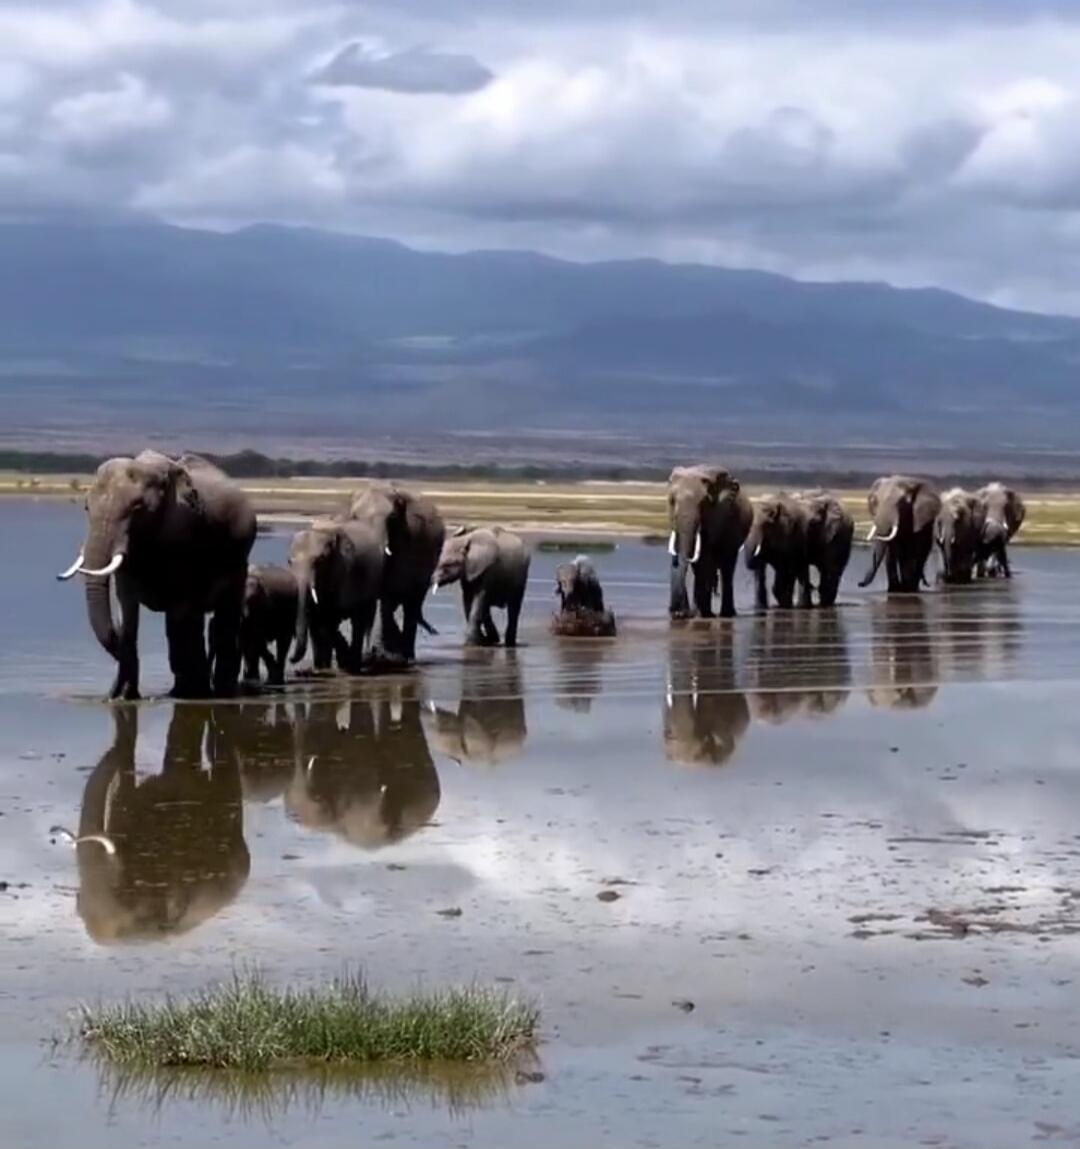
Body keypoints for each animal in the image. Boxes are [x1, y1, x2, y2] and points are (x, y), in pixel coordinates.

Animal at [57, 450, 256, 699]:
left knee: (221, 618)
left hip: (238, 558)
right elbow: (127, 610)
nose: (113, 693)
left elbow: (179, 614)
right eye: (86, 507)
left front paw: (187, 693)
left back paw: (216, 690)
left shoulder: (183, 536)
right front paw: (122, 697)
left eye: (136, 508)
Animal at [288, 518, 384, 672]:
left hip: (371, 582)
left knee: (360, 620)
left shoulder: (343, 572)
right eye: (289, 562)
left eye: (319, 561)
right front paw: (321, 667)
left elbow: (329, 619)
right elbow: (317, 618)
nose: (290, 659)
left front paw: (344, 660)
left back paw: (354, 664)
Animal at [348, 482, 445, 663]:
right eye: (355, 517)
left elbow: (387, 595)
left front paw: (383, 655)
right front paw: (372, 655)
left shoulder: (406, 542)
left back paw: (407, 657)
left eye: (391, 518)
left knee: (410, 605)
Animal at [667, 465, 753, 619]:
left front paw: (699, 613)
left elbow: (705, 558)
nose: (678, 613)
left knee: (727, 567)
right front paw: (688, 613)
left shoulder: (718, 515)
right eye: (671, 501)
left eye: (703, 504)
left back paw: (725, 614)